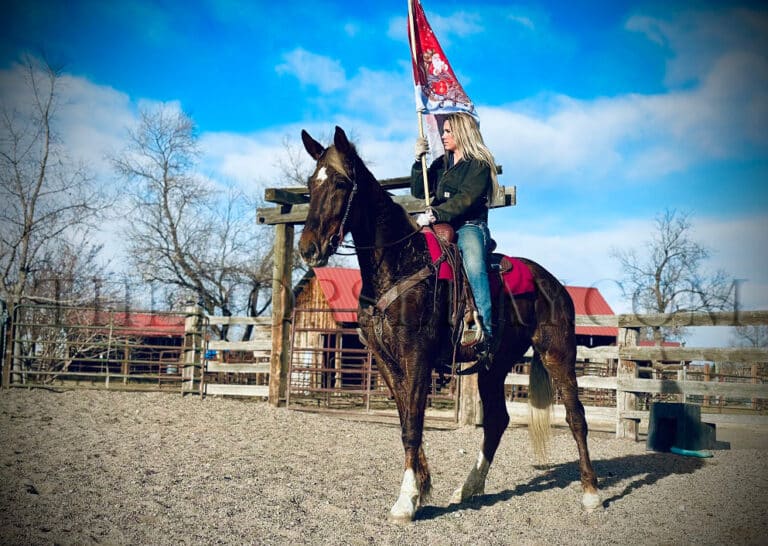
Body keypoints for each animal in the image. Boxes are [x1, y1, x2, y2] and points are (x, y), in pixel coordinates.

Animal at [298, 126, 600, 522]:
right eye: (309, 184)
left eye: (339, 182)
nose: (308, 248)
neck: (400, 262)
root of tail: (555, 284)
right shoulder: (386, 360)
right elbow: (406, 421)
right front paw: (421, 487)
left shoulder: (417, 356)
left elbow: (413, 425)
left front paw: (407, 499)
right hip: (494, 364)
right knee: (497, 421)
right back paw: (470, 487)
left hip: (558, 353)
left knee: (576, 417)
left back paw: (591, 493)